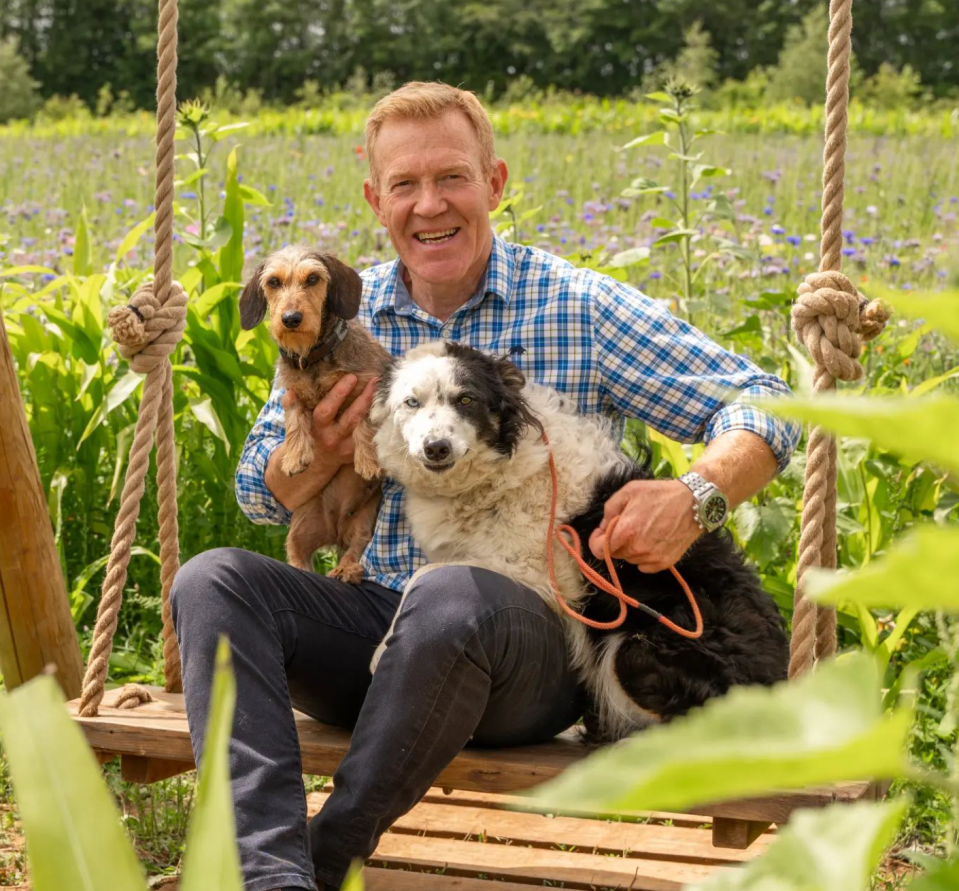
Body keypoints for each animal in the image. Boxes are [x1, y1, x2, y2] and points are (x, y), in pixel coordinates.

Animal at [240, 246, 390, 580]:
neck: (314, 357)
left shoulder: (368, 387)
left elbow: (364, 423)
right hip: (302, 524)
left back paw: (347, 569)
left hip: (365, 519)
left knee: (356, 548)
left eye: (312, 278)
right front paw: (295, 456)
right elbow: (296, 420)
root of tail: (335, 531)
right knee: (298, 555)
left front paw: (369, 461)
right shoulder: (292, 394)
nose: (291, 318)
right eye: (273, 282)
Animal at [368, 344, 788, 744]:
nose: (435, 447)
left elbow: (425, 573)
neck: (493, 476)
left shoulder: (533, 571)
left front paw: (381, 651)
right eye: (411, 402)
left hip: (635, 650)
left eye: (466, 399)